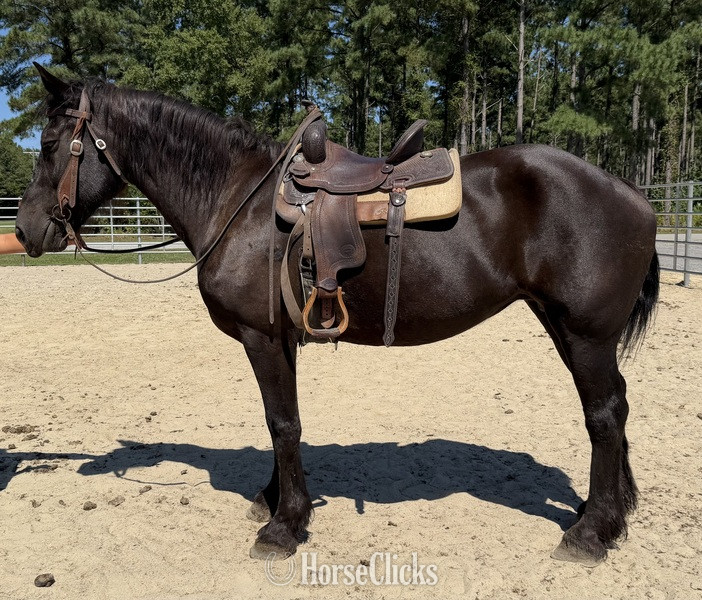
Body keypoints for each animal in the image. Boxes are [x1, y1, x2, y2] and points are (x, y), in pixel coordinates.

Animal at [15, 65, 659, 567]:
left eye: (49, 145)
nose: (24, 231)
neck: (237, 199)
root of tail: (634, 195)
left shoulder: (261, 338)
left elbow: (282, 424)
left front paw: (283, 526)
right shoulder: (284, 338)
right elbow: (284, 423)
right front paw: (276, 499)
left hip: (585, 332)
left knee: (604, 415)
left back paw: (590, 533)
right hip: (563, 326)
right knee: (615, 409)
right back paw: (606, 512)